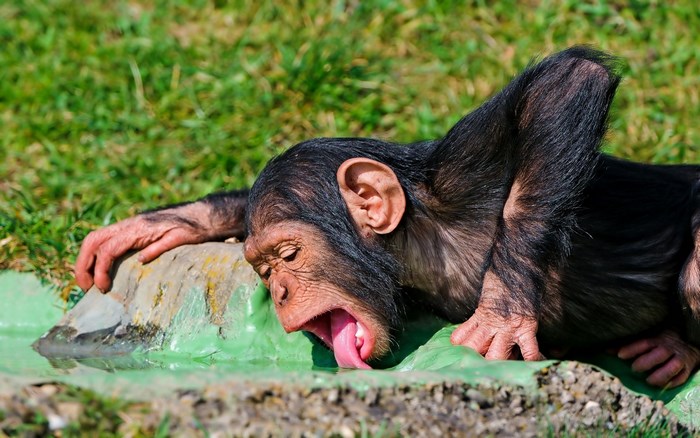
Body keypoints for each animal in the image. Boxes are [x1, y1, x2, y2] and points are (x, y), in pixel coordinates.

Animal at [75, 47, 700, 388]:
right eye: (261, 269)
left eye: (288, 255)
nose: (278, 291)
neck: (417, 244)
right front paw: (172, 220)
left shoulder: (463, 172)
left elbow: (566, 84)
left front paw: (500, 313)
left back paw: (676, 348)